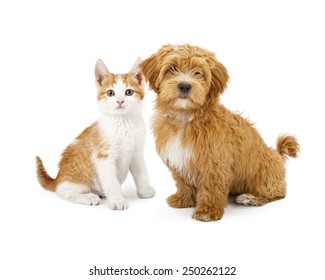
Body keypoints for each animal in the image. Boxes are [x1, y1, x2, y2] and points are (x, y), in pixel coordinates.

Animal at [36, 58, 155, 209]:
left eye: (129, 92)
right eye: (110, 93)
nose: (120, 101)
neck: (123, 122)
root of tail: (57, 178)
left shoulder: (136, 153)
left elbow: (141, 173)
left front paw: (144, 191)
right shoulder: (104, 157)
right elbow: (111, 181)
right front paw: (117, 200)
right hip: (76, 181)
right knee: (64, 191)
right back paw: (88, 197)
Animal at [140, 44, 298, 221]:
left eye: (199, 72)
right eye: (172, 68)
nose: (185, 86)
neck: (185, 117)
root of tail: (278, 155)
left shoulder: (213, 163)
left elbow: (211, 187)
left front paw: (207, 211)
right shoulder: (178, 160)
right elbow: (183, 182)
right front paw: (183, 199)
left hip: (264, 173)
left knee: (277, 193)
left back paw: (251, 198)